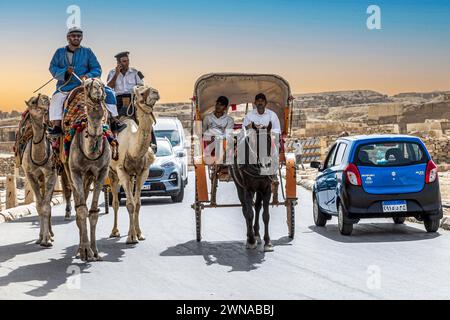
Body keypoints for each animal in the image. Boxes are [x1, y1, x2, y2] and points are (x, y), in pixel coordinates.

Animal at [109, 86, 160, 244]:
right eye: (142, 93)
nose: (156, 92)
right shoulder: (121, 170)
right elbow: (130, 204)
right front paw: (131, 238)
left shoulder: (143, 171)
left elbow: (137, 204)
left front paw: (139, 234)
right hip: (112, 173)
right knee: (115, 202)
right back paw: (115, 232)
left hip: (132, 175)